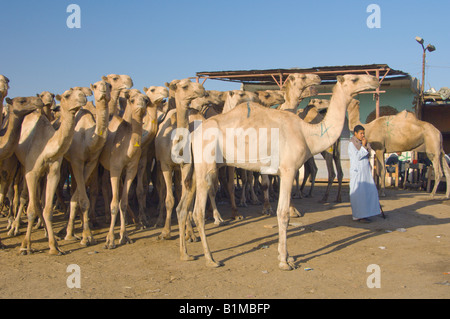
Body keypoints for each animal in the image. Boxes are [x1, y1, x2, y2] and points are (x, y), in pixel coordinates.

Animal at [15, 87, 90, 255]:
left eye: (81, 92)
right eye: (67, 95)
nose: (83, 97)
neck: (47, 146)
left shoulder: (54, 171)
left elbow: (47, 209)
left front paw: (54, 246)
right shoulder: (31, 172)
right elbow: (30, 209)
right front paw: (25, 245)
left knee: (40, 201)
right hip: (23, 166)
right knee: (28, 198)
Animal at [63, 80, 111, 245]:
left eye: (109, 85)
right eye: (95, 86)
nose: (103, 90)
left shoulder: (92, 162)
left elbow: (80, 198)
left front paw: (86, 233)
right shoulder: (77, 161)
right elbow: (82, 199)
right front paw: (86, 237)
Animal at [99, 89, 152, 249]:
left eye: (146, 100)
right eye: (132, 100)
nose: (141, 106)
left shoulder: (131, 170)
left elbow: (123, 202)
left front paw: (125, 236)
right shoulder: (115, 168)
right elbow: (114, 203)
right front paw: (110, 240)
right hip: (106, 167)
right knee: (105, 186)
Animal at [179, 74, 380, 270]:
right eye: (354, 79)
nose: (375, 80)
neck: (307, 134)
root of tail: (193, 135)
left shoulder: (283, 172)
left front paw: (287, 256)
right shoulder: (288, 170)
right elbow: (283, 213)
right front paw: (284, 261)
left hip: (196, 168)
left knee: (182, 206)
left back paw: (187, 254)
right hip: (206, 164)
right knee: (197, 210)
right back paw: (211, 259)